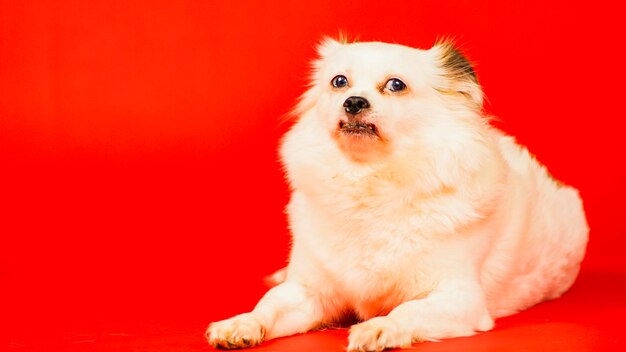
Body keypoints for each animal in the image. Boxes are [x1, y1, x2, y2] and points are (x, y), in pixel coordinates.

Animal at [207, 37, 588, 350]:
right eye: (339, 82)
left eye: (395, 85)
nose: (353, 101)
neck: (368, 180)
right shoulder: (306, 292)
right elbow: (268, 306)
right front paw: (241, 323)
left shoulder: (459, 298)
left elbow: (408, 310)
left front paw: (380, 328)